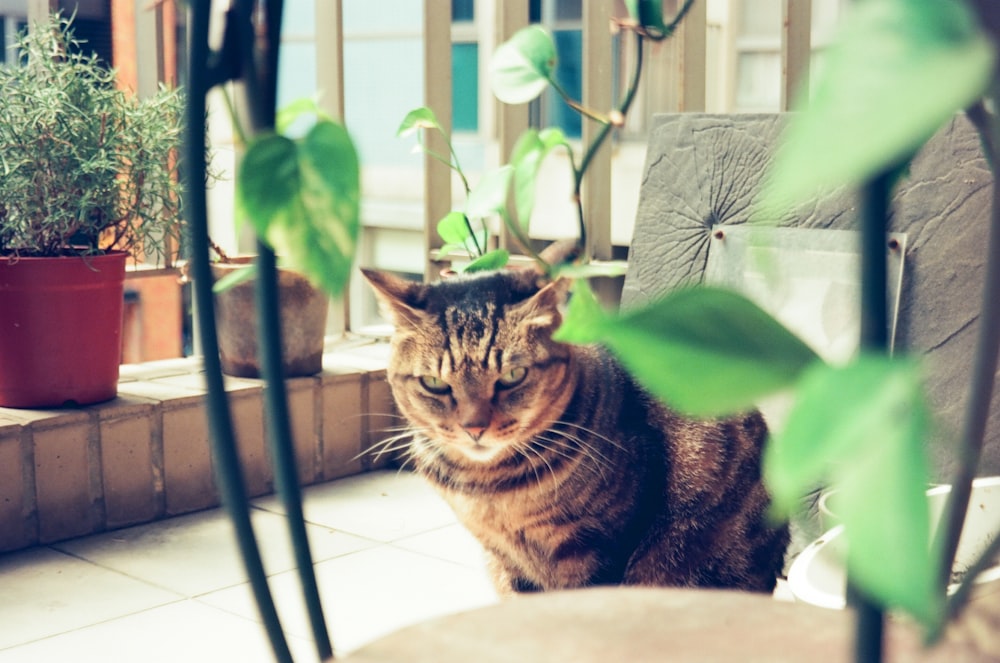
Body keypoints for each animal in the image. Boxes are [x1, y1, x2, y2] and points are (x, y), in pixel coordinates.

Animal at [362, 268, 788, 596]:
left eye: (513, 376)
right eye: (434, 383)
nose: (474, 427)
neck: (490, 490)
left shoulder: (597, 547)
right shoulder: (503, 556)